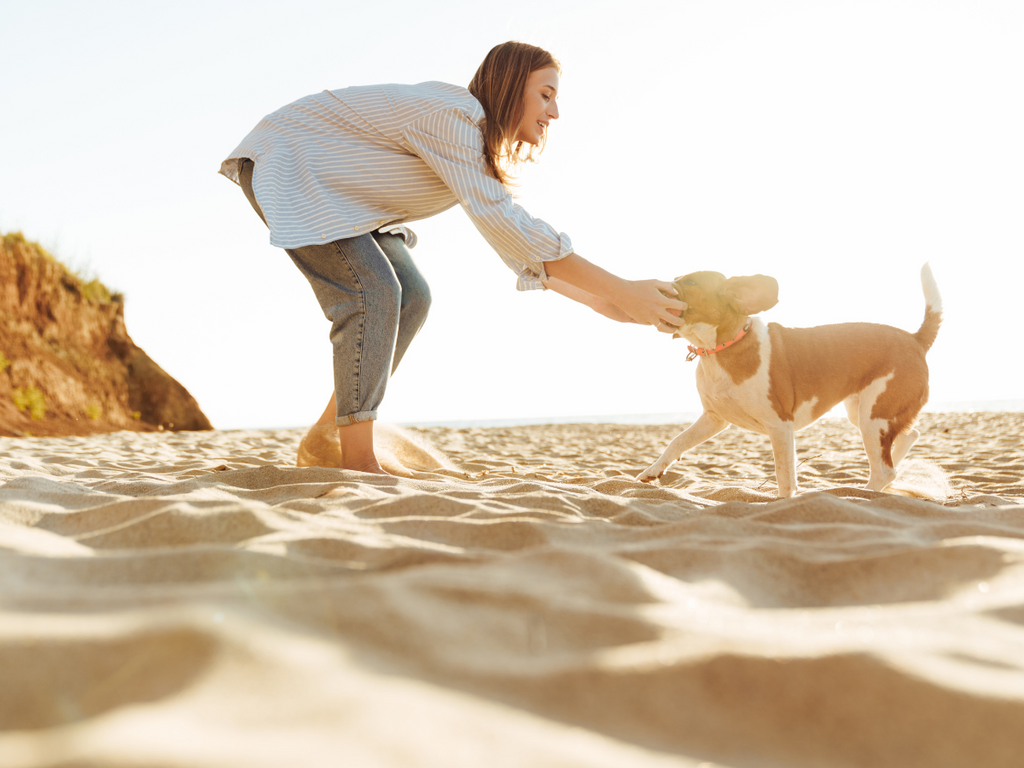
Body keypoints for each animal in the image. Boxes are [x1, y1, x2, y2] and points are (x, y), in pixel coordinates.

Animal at [638, 266, 942, 499]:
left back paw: (862, 493)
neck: (721, 348)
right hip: (863, 414)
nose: (653, 289)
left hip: (872, 417)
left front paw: (783, 502)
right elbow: (676, 441)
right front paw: (652, 471)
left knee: (884, 470)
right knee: (906, 440)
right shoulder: (714, 418)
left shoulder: (780, 425)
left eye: (689, 282)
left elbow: (784, 475)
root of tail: (914, 338)